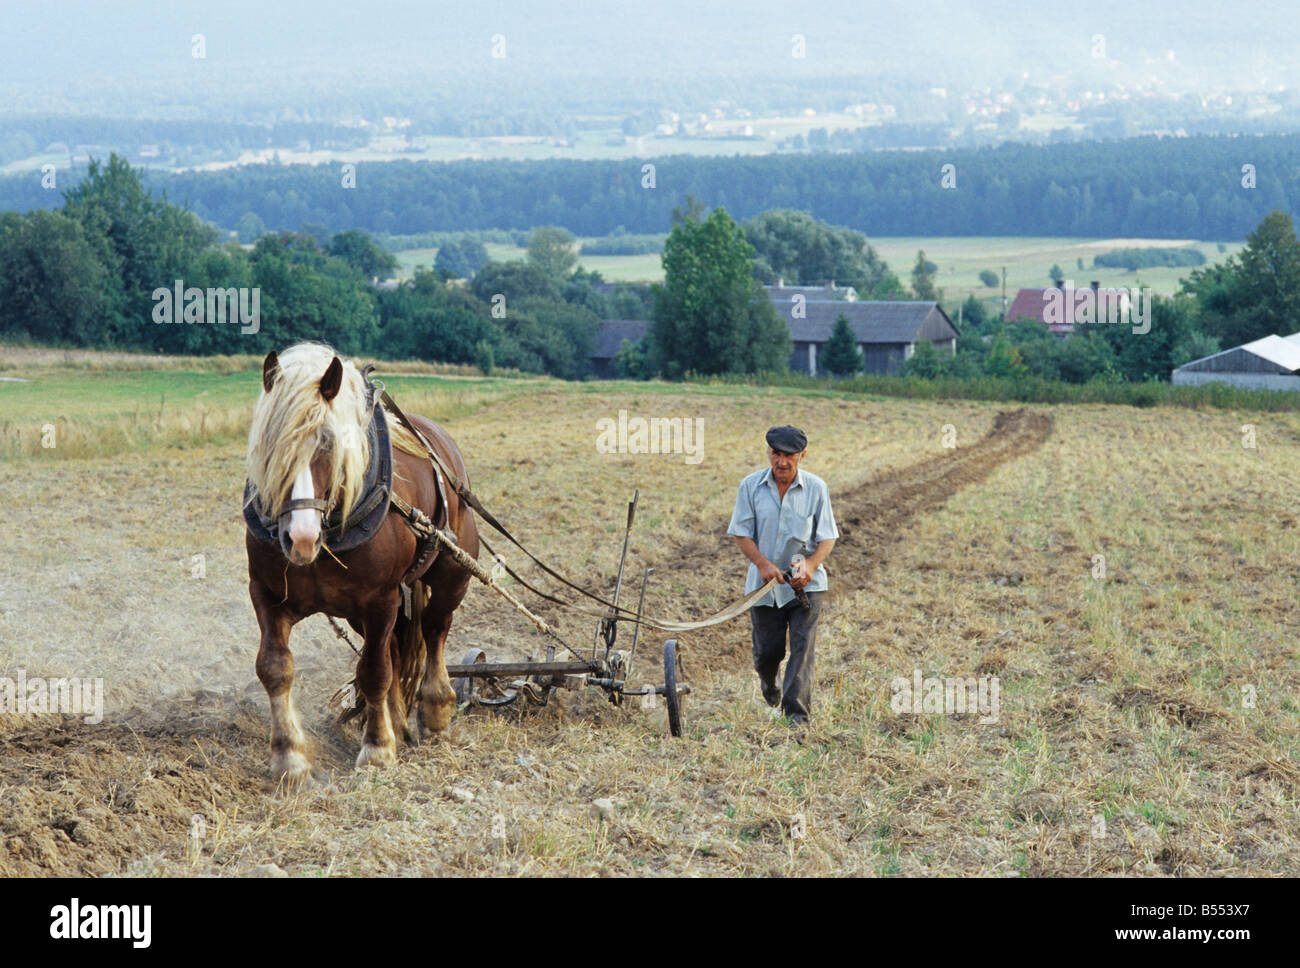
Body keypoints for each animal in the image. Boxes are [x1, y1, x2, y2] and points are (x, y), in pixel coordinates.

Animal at [243, 343, 478, 779]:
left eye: (329, 445)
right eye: (270, 449)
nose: (300, 538)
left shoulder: (381, 598)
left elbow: (374, 672)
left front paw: (377, 749)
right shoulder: (266, 593)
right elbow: (274, 667)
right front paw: (288, 756)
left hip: (451, 573)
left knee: (435, 630)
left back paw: (436, 710)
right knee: (397, 650)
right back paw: (399, 722)